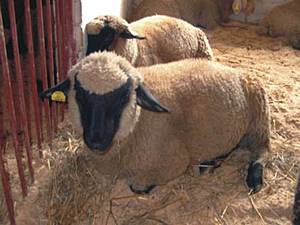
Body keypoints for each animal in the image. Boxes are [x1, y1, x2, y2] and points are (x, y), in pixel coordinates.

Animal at [42, 51, 272, 194]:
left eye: (123, 96)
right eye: (80, 95)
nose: (96, 140)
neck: (138, 122)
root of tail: (238, 73)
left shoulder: (171, 163)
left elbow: (138, 187)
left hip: (259, 120)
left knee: (261, 151)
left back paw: (244, 174)